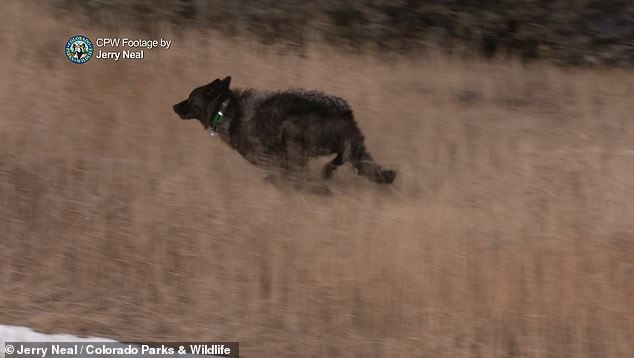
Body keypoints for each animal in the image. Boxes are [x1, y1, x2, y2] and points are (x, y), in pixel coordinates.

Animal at [170, 77, 392, 186]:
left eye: (190, 97)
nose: (174, 106)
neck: (225, 108)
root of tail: (345, 111)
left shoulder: (276, 161)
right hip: (351, 147)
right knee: (346, 159)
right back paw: (327, 172)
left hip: (291, 131)